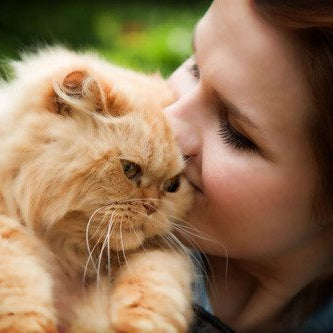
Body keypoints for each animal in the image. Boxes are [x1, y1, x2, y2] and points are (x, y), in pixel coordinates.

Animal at [0, 47, 192, 332]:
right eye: (129, 169)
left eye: (172, 185)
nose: (151, 207)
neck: (69, 251)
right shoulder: (6, 228)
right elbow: (18, 283)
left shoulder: (161, 250)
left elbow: (154, 282)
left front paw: (136, 323)